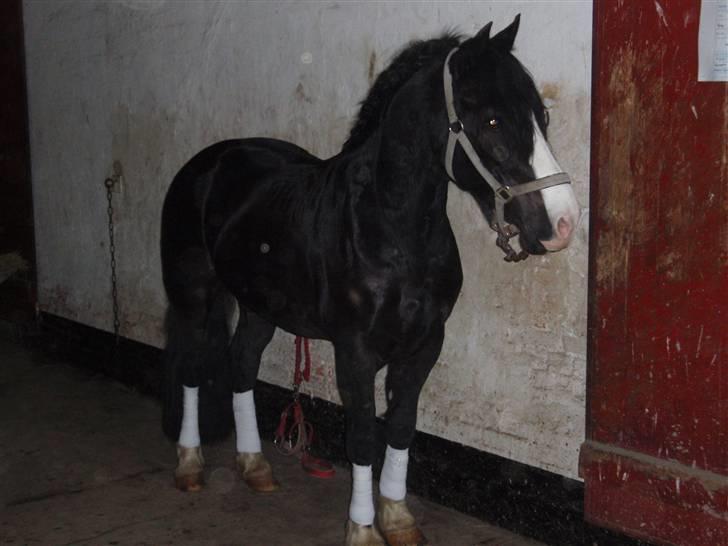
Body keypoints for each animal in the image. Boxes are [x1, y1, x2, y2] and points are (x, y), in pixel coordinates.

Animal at [161, 17, 580, 544]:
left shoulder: (424, 346)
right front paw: (362, 529)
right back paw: (189, 465)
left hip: (260, 306)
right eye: (490, 121)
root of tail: (209, 161)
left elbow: (400, 428)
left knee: (241, 365)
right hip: (194, 294)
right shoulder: (355, 352)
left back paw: (255, 466)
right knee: (192, 369)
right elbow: (362, 437)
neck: (390, 228)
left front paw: (397, 519)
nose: (563, 223)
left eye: (541, 115)